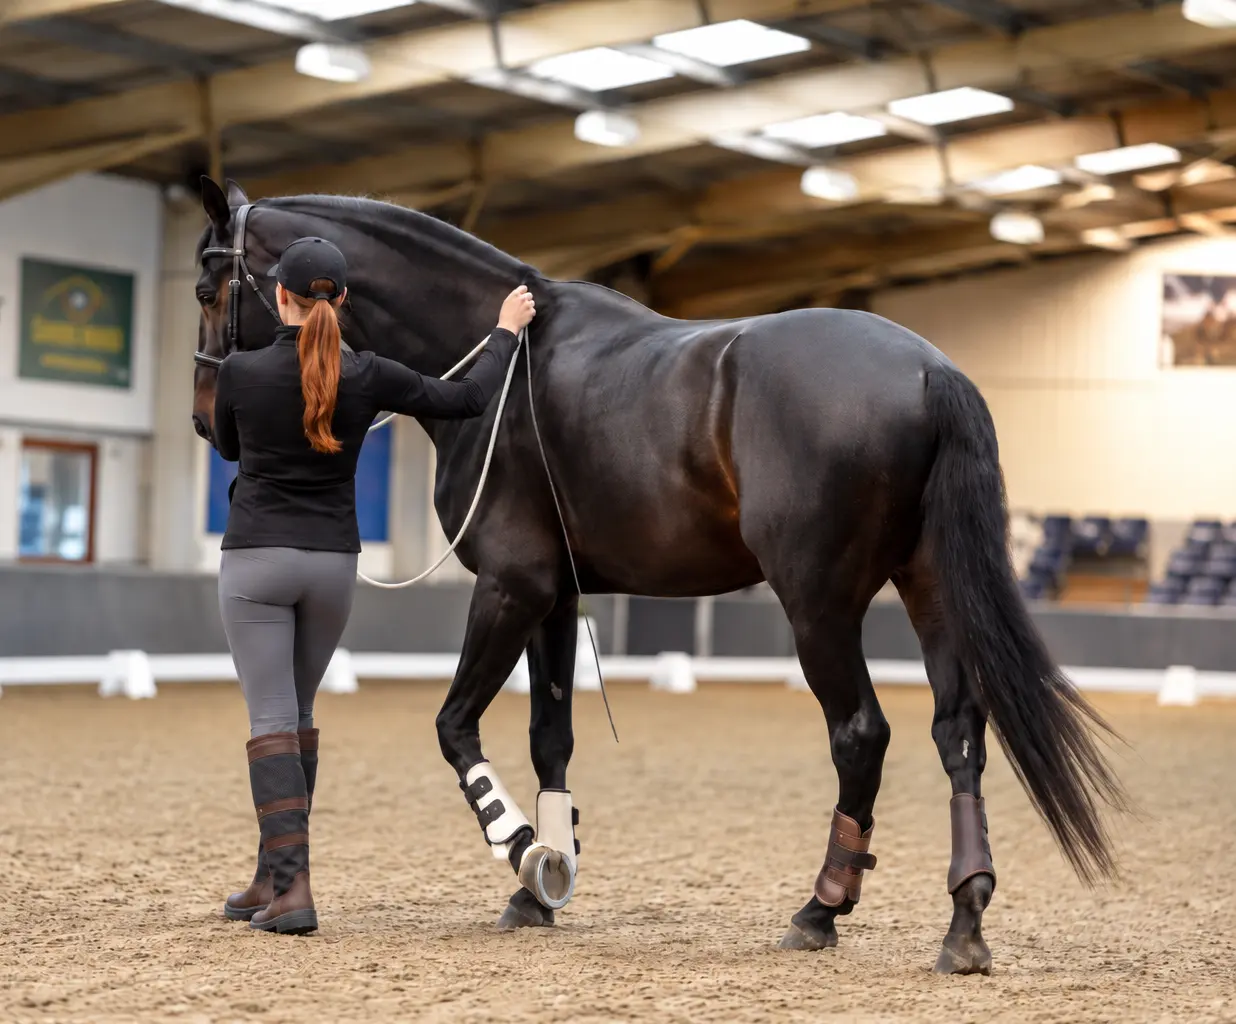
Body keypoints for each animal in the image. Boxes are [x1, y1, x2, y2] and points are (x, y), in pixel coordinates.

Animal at [192, 177, 1124, 974]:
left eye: (206, 287)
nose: (208, 422)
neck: (500, 368)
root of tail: (931, 369)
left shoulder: (511, 586)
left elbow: (455, 727)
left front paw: (524, 852)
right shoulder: (558, 597)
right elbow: (551, 736)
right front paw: (545, 883)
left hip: (818, 604)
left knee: (861, 734)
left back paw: (819, 910)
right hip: (930, 590)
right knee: (957, 734)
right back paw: (964, 922)